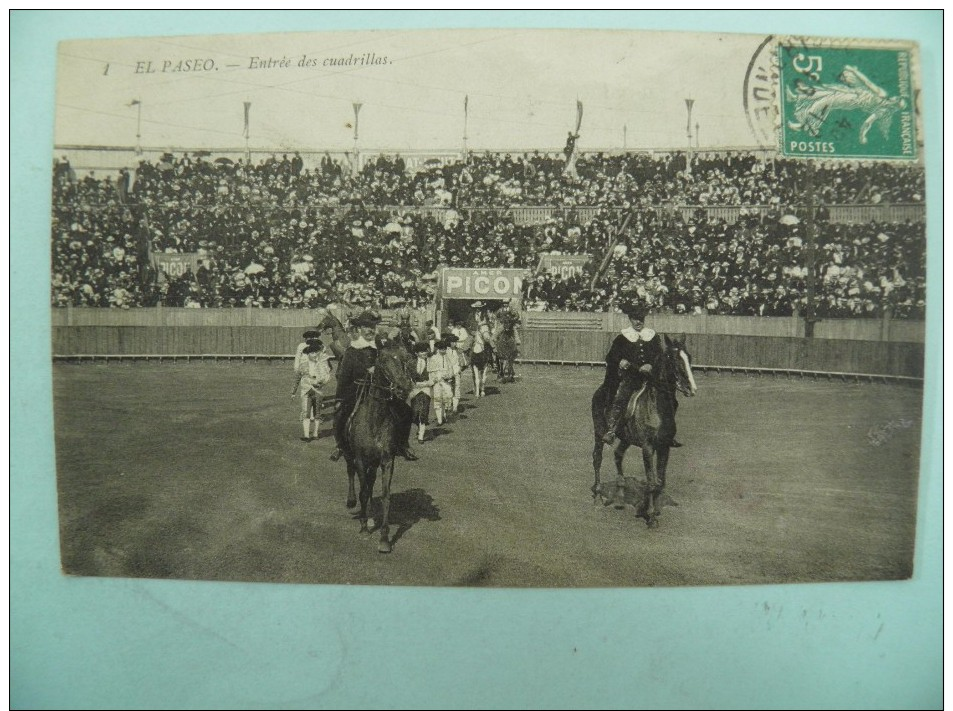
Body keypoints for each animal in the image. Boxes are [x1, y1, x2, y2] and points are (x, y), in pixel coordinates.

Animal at [344, 348, 414, 552]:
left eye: (405, 359)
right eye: (382, 361)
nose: (404, 386)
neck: (375, 419)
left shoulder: (387, 461)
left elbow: (385, 495)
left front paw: (384, 538)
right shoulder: (360, 459)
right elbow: (363, 491)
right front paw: (363, 526)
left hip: (374, 463)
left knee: (370, 480)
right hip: (349, 454)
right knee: (350, 472)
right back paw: (352, 501)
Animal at [592, 336, 696, 528]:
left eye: (689, 357)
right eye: (673, 359)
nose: (691, 389)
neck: (656, 408)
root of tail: (601, 390)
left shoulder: (664, 447)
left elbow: (660, 482)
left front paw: (648, 508)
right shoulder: (647, 448)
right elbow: (651, 481)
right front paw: (651, 516)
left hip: (626, 438)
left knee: (618, 455)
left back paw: (621, 489)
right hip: (598, 433)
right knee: (597, 459)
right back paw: (597, 497)